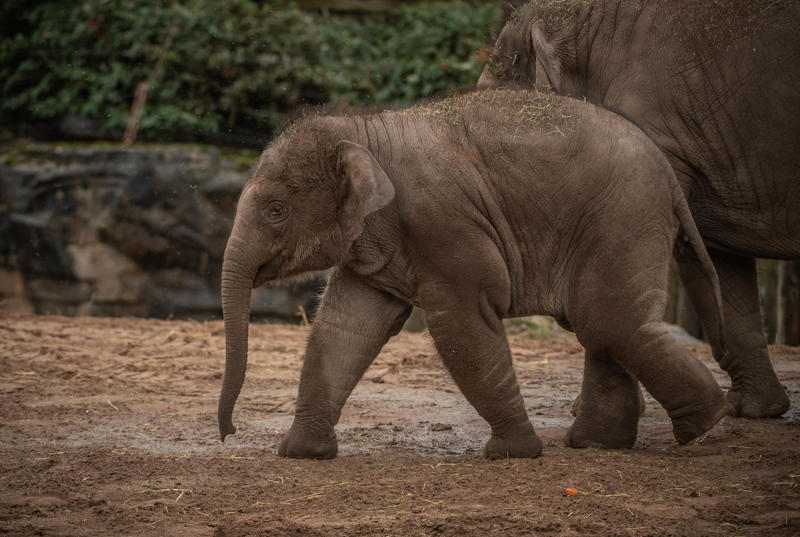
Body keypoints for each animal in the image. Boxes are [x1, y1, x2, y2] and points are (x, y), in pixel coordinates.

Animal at [218, 89, 734, 460]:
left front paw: (514, 453)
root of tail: (666, 169)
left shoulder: (443, 222)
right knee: (601, 325)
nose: (228, 433)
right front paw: (301, 453)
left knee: (608, 321)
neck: (363, 129)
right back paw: (601, 443)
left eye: (276, 211)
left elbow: (461, 321)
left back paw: (706, 423)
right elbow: (346, 326)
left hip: (623, 215)